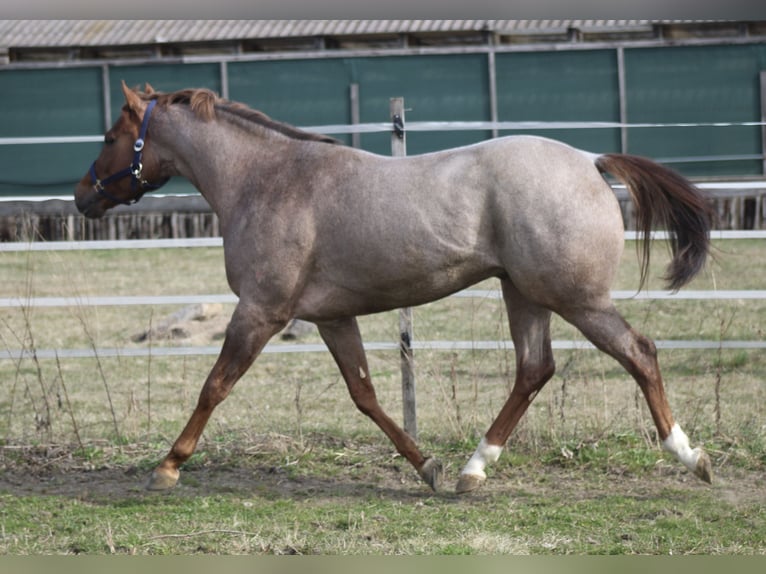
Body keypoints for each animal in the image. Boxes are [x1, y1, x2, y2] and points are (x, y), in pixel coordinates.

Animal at [75, 81, 715, 493]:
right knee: (534, 370)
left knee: (639, 353)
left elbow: (215, 385)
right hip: (525, 294)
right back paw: (471, 470)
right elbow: (365, 395)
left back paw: (689, 456)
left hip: (575, 298)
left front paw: (167, 466)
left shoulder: (260, 311)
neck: (267, 180)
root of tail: (589, 160)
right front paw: (427, 467)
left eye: (109, 136)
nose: (83, 197)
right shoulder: (332, 317)